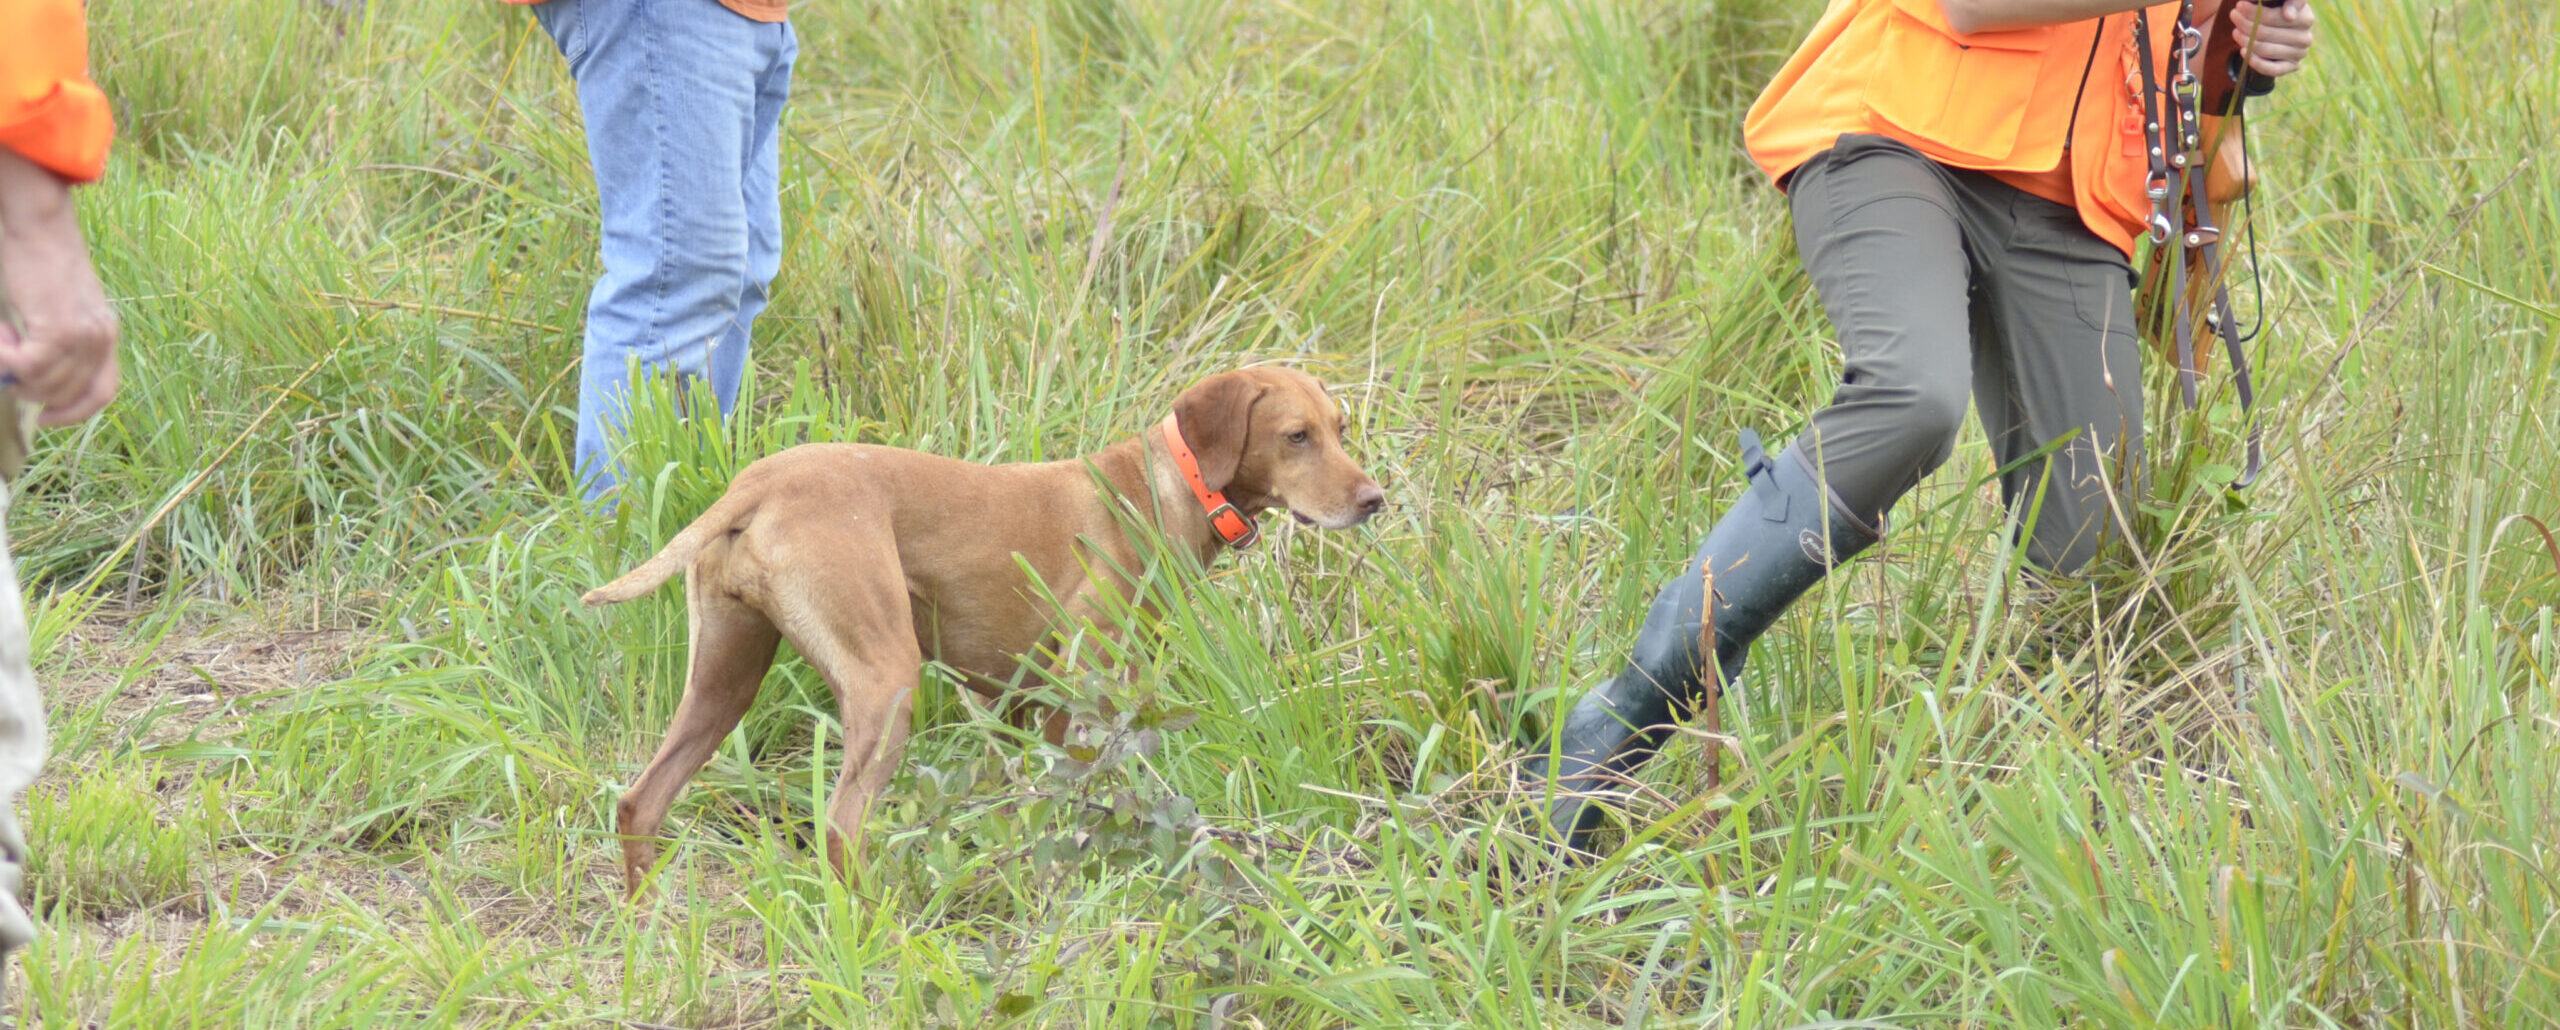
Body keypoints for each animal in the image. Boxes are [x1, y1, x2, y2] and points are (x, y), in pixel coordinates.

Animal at [586, 368, 1382, 891]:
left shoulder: (1016, 704)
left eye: (1341, 429)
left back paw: (648, 922)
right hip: (886, 680)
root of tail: (756, 483)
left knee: (640, 801)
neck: (1165, 487)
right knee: (841, 829)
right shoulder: (1086, 685)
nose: (1376, 499)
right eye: (1296, 436)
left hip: (724, 682)